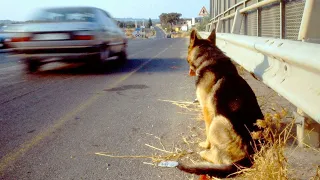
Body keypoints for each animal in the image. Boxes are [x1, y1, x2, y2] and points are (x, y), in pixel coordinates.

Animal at [178, 29, 264, 177]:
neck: (208, 57)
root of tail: (250, 155)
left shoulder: (207, 110)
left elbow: (206, 132)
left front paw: (205, 144)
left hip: (218, 120)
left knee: (219, 158)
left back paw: (205, 153)